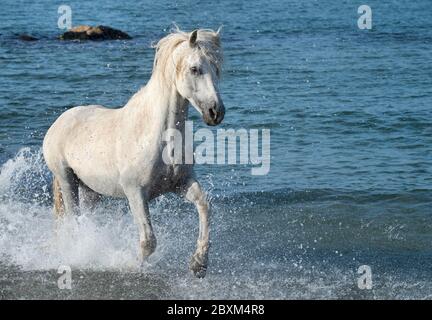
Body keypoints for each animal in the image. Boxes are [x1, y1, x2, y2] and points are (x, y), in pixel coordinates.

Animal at [43, 29, 226, 278]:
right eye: (195, 69)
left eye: (216, 68)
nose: (215, 112)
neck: (159, 136)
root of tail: (59, 122)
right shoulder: (135, 192)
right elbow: (148, 241)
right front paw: (131, 266)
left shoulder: (182, 184)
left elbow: (204, 205)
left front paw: (198, 264)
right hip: (66, 179)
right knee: (72, 220)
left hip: (91, 190)